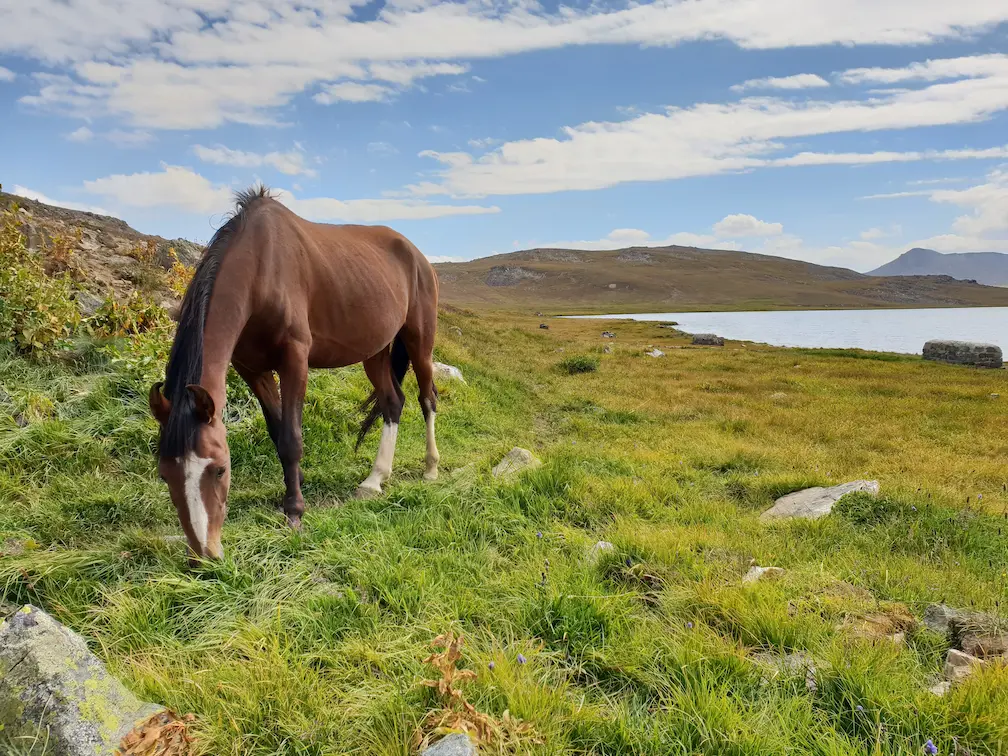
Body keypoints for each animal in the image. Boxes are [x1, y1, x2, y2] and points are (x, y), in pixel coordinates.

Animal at [147, 185, 439, 560]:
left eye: (220, 469)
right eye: (164, 475)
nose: (205, 555)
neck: (261, 269)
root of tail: (417, 255)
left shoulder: (295, 360)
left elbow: (291, 438)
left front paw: (295, 511)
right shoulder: (252, 369)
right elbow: (277, 432)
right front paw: (293, 486)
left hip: (420, 340)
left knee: (427, 398)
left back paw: (430, 467)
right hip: (375, 351)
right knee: (392, 403)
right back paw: (374, 479)